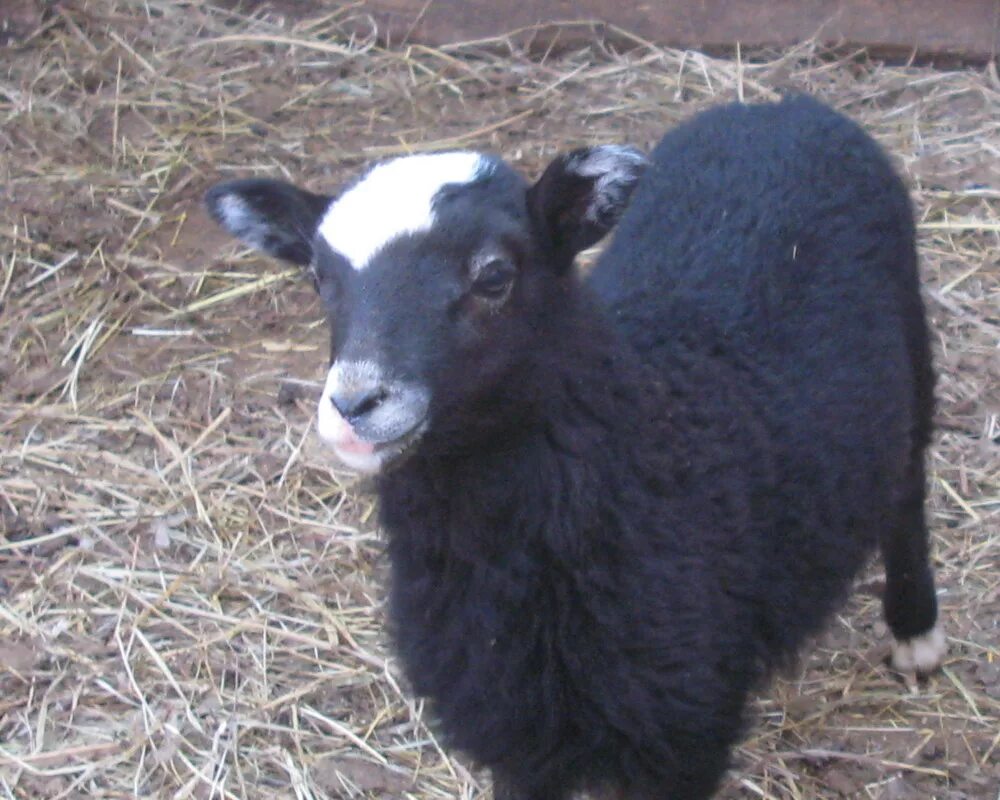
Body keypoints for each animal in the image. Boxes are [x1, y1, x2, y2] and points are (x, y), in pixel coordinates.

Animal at [205, 95, 944, 800]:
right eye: (319, 279)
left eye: (494, 276)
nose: (355, 405)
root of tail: (776, 107)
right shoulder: (514, 732)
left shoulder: (682, 729)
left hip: (913, 346)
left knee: (907, 485)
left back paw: (915, 632)